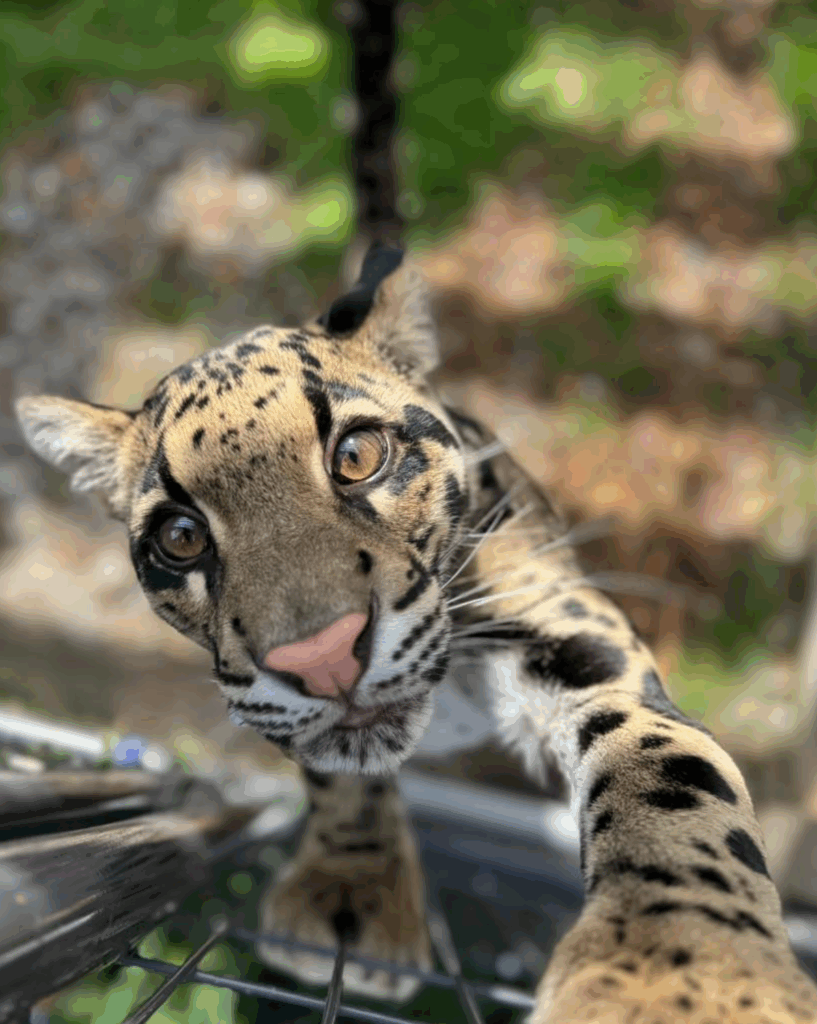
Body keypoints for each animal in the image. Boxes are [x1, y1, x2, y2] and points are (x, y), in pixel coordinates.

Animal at [15, 243, 817, 1022]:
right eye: (180, 538)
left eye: (357, 457)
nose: (321, 658)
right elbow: (341, 780)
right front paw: (352, 886)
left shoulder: (580, 641)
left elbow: (663, 779)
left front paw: (677, 974)